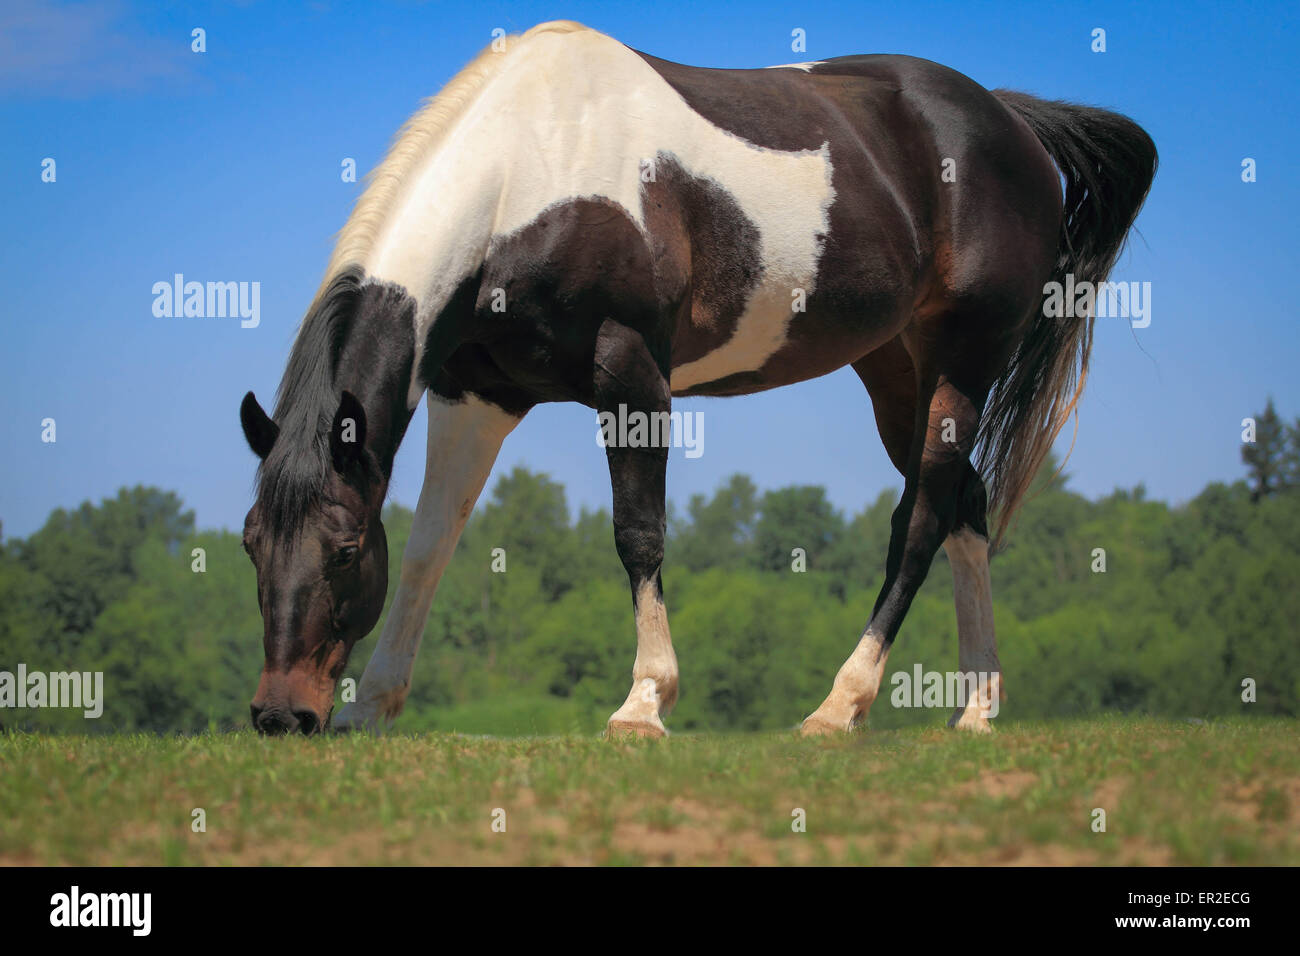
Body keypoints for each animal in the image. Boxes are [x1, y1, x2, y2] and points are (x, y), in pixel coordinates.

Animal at [239, 22, 1154, 738]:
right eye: (251, 543)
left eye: (344, 550)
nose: (283, 714)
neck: (530, 170)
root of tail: (1008, 120)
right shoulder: (478, 395)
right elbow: (433, 542)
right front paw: (373, 707)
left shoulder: (631, 372)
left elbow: (638, 533)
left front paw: (645, 702)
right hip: (901, 371)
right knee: (965, 504)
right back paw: (974, 710)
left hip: (966, 360)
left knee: (924, 517)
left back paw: (840, 705)